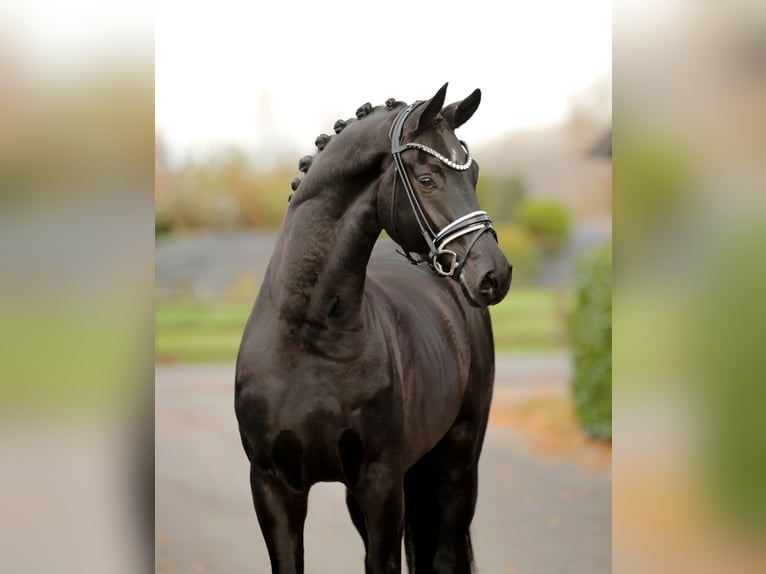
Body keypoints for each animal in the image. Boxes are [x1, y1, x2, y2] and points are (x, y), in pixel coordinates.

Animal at [235, 83, 512, 574]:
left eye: (474, 172)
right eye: (427, 179)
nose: (494, 275)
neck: (309, 341)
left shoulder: (382, 483)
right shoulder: (272, 486)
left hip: (458, 462)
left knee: (446, 551)